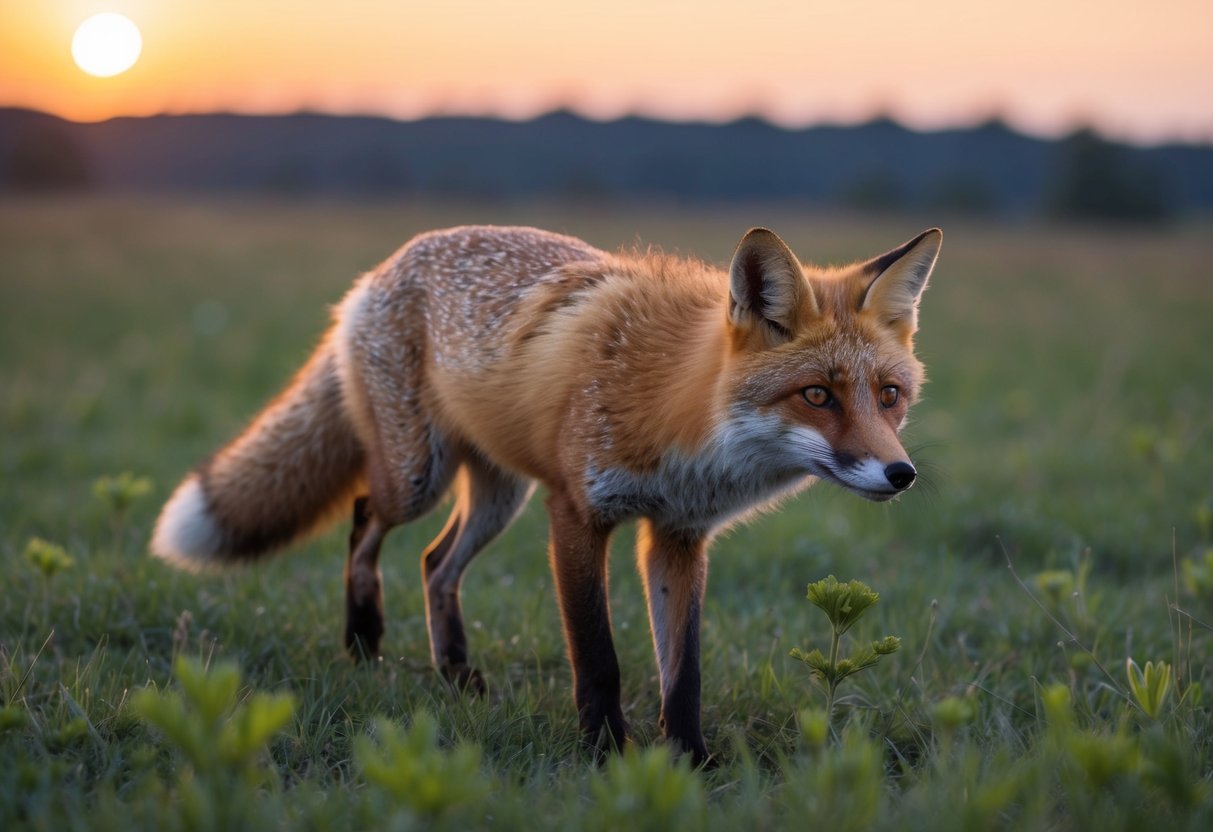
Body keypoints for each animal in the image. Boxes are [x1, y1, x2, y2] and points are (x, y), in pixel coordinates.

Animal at [150, 223, 941, 765]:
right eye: (817, 395)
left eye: (889, 395)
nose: (900, 474)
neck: (679, 410)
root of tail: (387, 263)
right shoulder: (577, 513)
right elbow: (598, 656)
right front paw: (607, 754)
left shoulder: (678, 538)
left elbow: (681, 671)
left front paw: (689, 761)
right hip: (417, 475)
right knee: (364, 517)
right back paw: (364, 638)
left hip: (498, 498)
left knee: (435, 564)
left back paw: (456, 674)